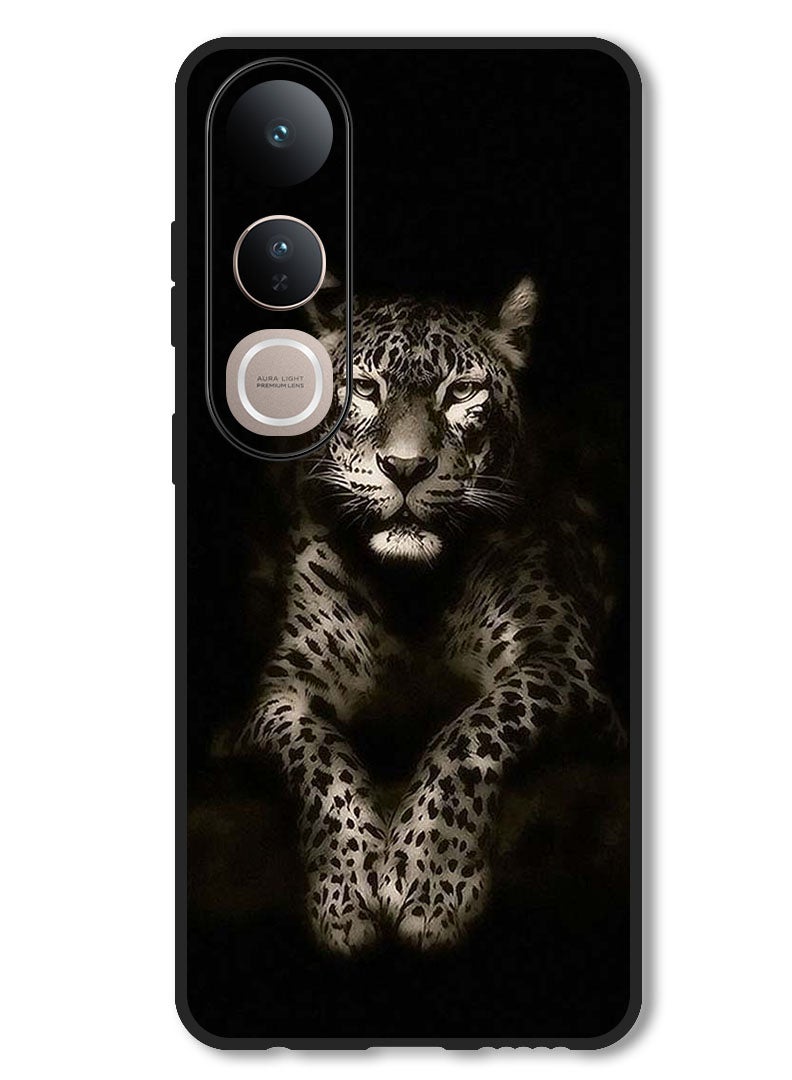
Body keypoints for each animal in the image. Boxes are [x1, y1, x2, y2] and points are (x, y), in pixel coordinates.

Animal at [235, 278, 626, 954]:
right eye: (366, 388)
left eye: (462, 391)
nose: (406, 468)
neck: (411, 592)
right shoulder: (282, 693)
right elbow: (320, 758)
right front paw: (345, 892)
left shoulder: (560, 661)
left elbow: (470, 733)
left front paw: (428, 880)